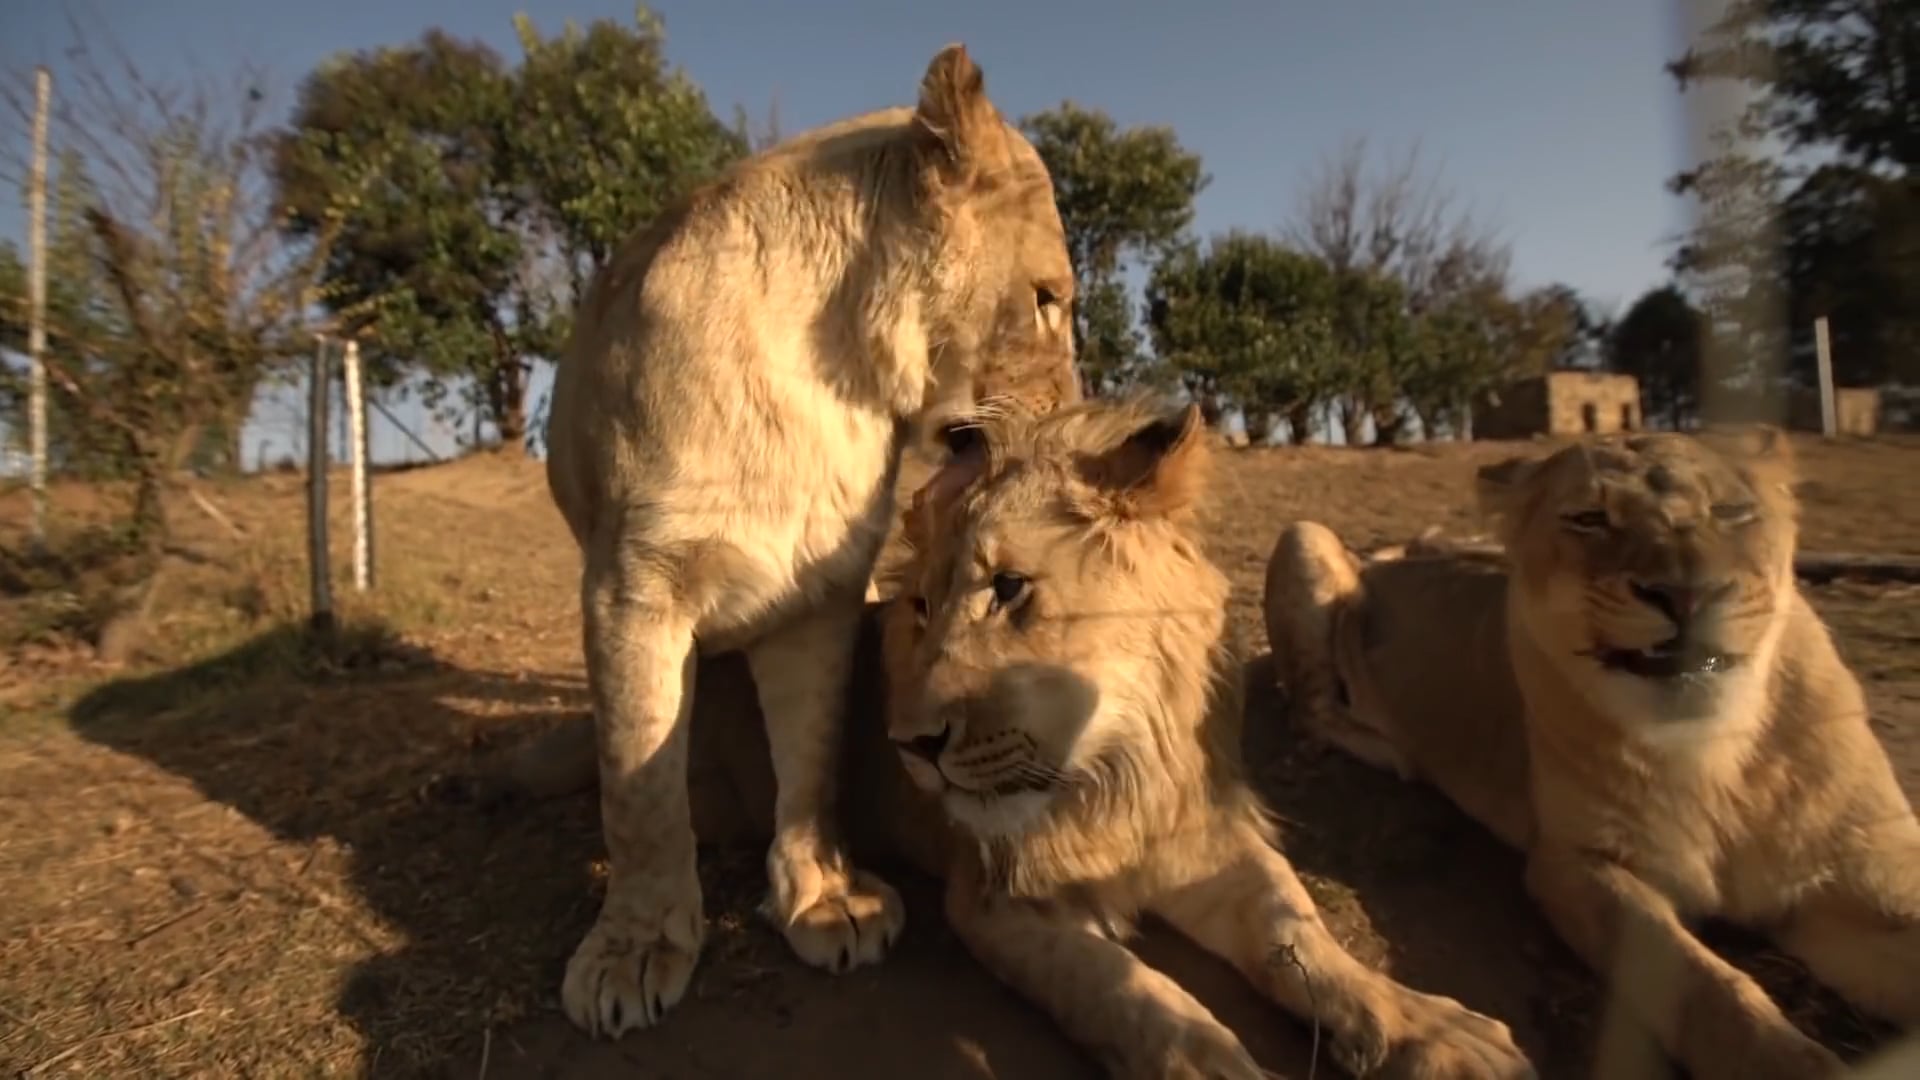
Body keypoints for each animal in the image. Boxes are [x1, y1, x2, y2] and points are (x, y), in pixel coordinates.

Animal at [491, 399, 1533, 1078]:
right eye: (919, 606)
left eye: (1011, 589)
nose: (910, 745)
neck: (1109, 771)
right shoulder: (995, 900)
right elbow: (1128, 989)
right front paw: (1210, 1058)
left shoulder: (1205, 839)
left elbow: (1300, 936)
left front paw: (1432, 1031)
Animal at [540, 43, 1078, 1036]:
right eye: (1049, 299)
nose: (1070, 421)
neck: (836, 384)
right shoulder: (633, 587)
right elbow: (639, 783)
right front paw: (634, 947)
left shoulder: (819, 594)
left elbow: (813, 757)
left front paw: (825, 899)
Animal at [1263, 429, 1920, 1080]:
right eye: (1589, 517)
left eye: (1733, 511)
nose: (1687, 593)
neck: (1720, 753)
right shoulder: (1576, 864)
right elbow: (1707, 988)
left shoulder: (1867, 870)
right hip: (1302, 535)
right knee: (1311, 713)